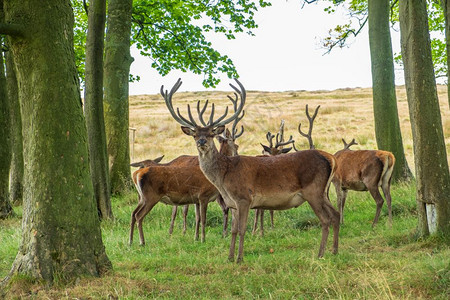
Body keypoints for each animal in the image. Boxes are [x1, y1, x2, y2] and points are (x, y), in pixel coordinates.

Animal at [160, 78, 340, 262]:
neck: (224, 178)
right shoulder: (232, 203)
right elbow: (233, 230)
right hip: (323, 192)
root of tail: (331, 158)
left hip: (313, 190)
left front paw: (239, 258)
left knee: (325, 219)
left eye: (211, 133)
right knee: (336, 215)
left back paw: (321, 254)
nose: (201, 142)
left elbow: (242, 229)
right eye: (195, 134)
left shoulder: (244, 198)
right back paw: (334, 250)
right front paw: (229, 257)